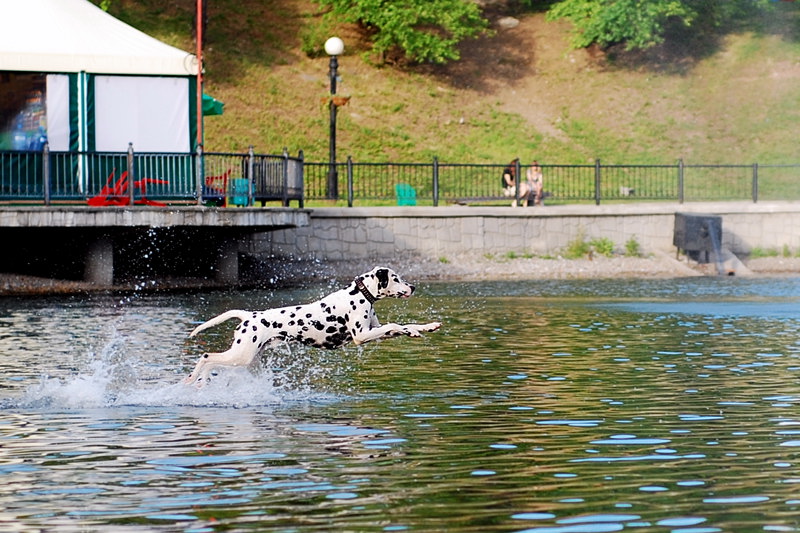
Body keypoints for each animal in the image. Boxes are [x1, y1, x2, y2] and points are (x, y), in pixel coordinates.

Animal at [184, 268, 440, 384]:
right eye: (395, 278)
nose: (413, 287)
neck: (359, 294)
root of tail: (249, 315)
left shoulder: (376, 333)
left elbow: (401, 326)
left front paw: (425, 327)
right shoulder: (362, 336)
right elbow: (397, 324)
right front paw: (416, 329)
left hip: (249, 361)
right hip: (240, 355)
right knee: (207, 357)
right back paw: (193, 380)